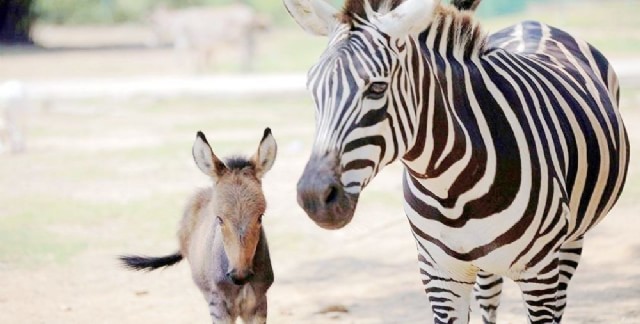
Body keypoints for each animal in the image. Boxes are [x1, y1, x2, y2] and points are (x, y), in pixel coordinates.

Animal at [286, 0, 632, 322]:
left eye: (377, 87)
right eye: (312, 89)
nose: (314, 197)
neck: (451, 189)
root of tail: (533, 23)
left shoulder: (540, 273)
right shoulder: (440, 275)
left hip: (570, 243)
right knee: (489, 300)